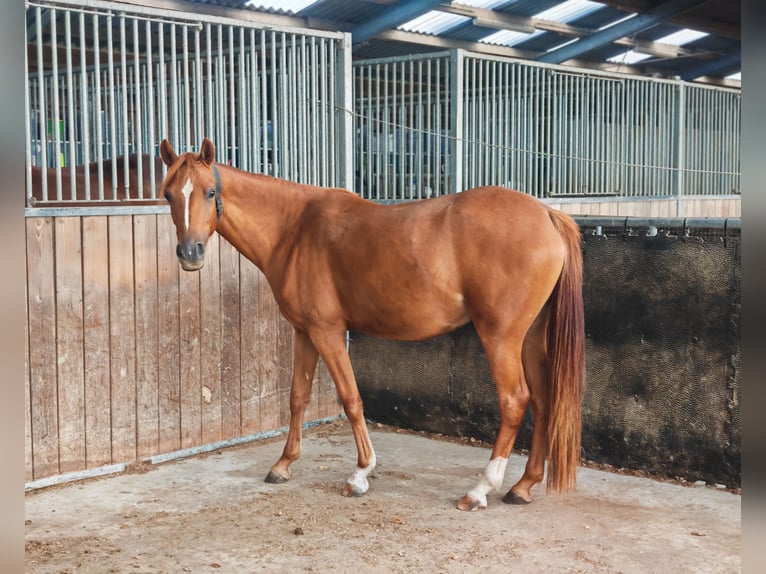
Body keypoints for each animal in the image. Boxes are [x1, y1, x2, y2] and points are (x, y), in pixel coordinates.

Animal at [159, 137, 585, 511]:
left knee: (514, 401)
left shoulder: (327, 332)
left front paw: (360, 474)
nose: (190, 253)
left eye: (209, 193)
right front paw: (283, 465)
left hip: (500, 337)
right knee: (544, 401)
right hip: (530, 339)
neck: (294, 230)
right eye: (169, 195)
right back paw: (523, 486)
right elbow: (297, 397)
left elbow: (351, 399)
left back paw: (480, 490)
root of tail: (547, 214)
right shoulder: (304, 332)